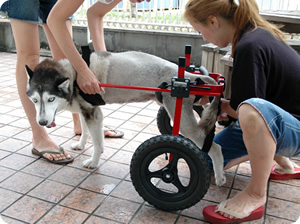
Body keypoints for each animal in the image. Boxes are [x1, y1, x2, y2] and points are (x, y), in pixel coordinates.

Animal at [26, 50, 225, 186]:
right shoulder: (85, 111)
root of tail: (188, 75)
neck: (74, 76)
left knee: (215, 147)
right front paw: (81, 144)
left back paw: (220, 176)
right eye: (34, 100)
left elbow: (97, 144)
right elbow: (85, 131)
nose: (42, 122)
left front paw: (94, 162)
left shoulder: (94, 115)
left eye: (50, 99)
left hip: (184, 122)